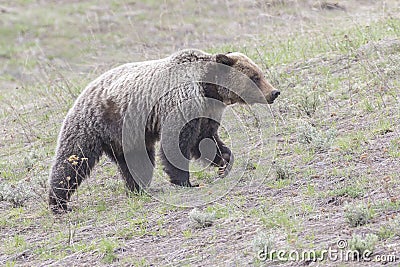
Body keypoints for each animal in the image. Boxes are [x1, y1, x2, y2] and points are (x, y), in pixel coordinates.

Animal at [48, 49, 280, 214]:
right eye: (255, 76)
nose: (274, 92)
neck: (207, 87)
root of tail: (83, 92)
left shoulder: (206, 111)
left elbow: (206, 141)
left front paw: (225, 162)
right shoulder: (182, 102)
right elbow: (177, 143)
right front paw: (186, 181)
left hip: (129, 136)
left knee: (136, 161)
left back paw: (138, 188)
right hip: (93, 124)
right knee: (71, 160)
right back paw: (58, 203)